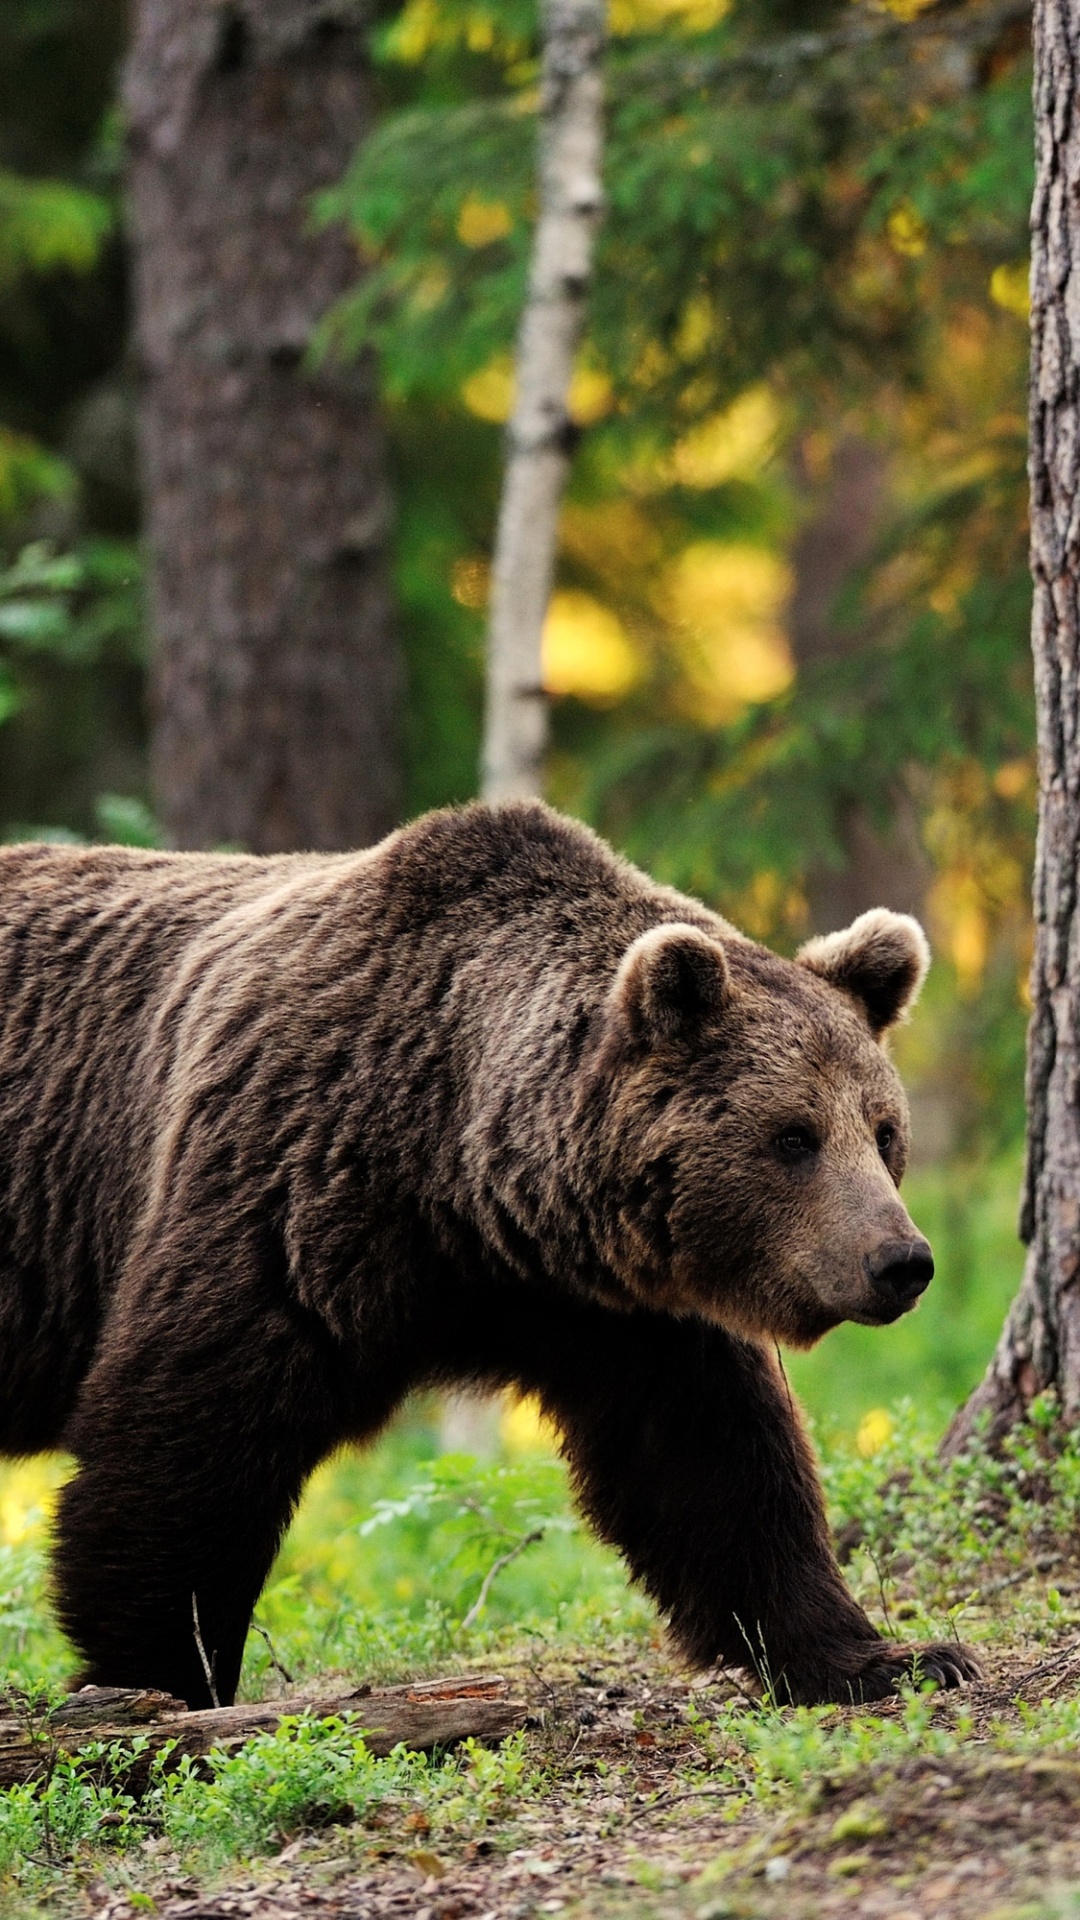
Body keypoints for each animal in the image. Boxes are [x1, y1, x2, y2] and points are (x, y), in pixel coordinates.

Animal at [0, 799, 977, 1710]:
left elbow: (714, 1465)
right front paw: (163, 1684)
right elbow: (190, 1434)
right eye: (793, 1136)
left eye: (882, 1131)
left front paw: (890, 1657)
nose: (901, 1260)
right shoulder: (286, 1186)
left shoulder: (618, 1309)